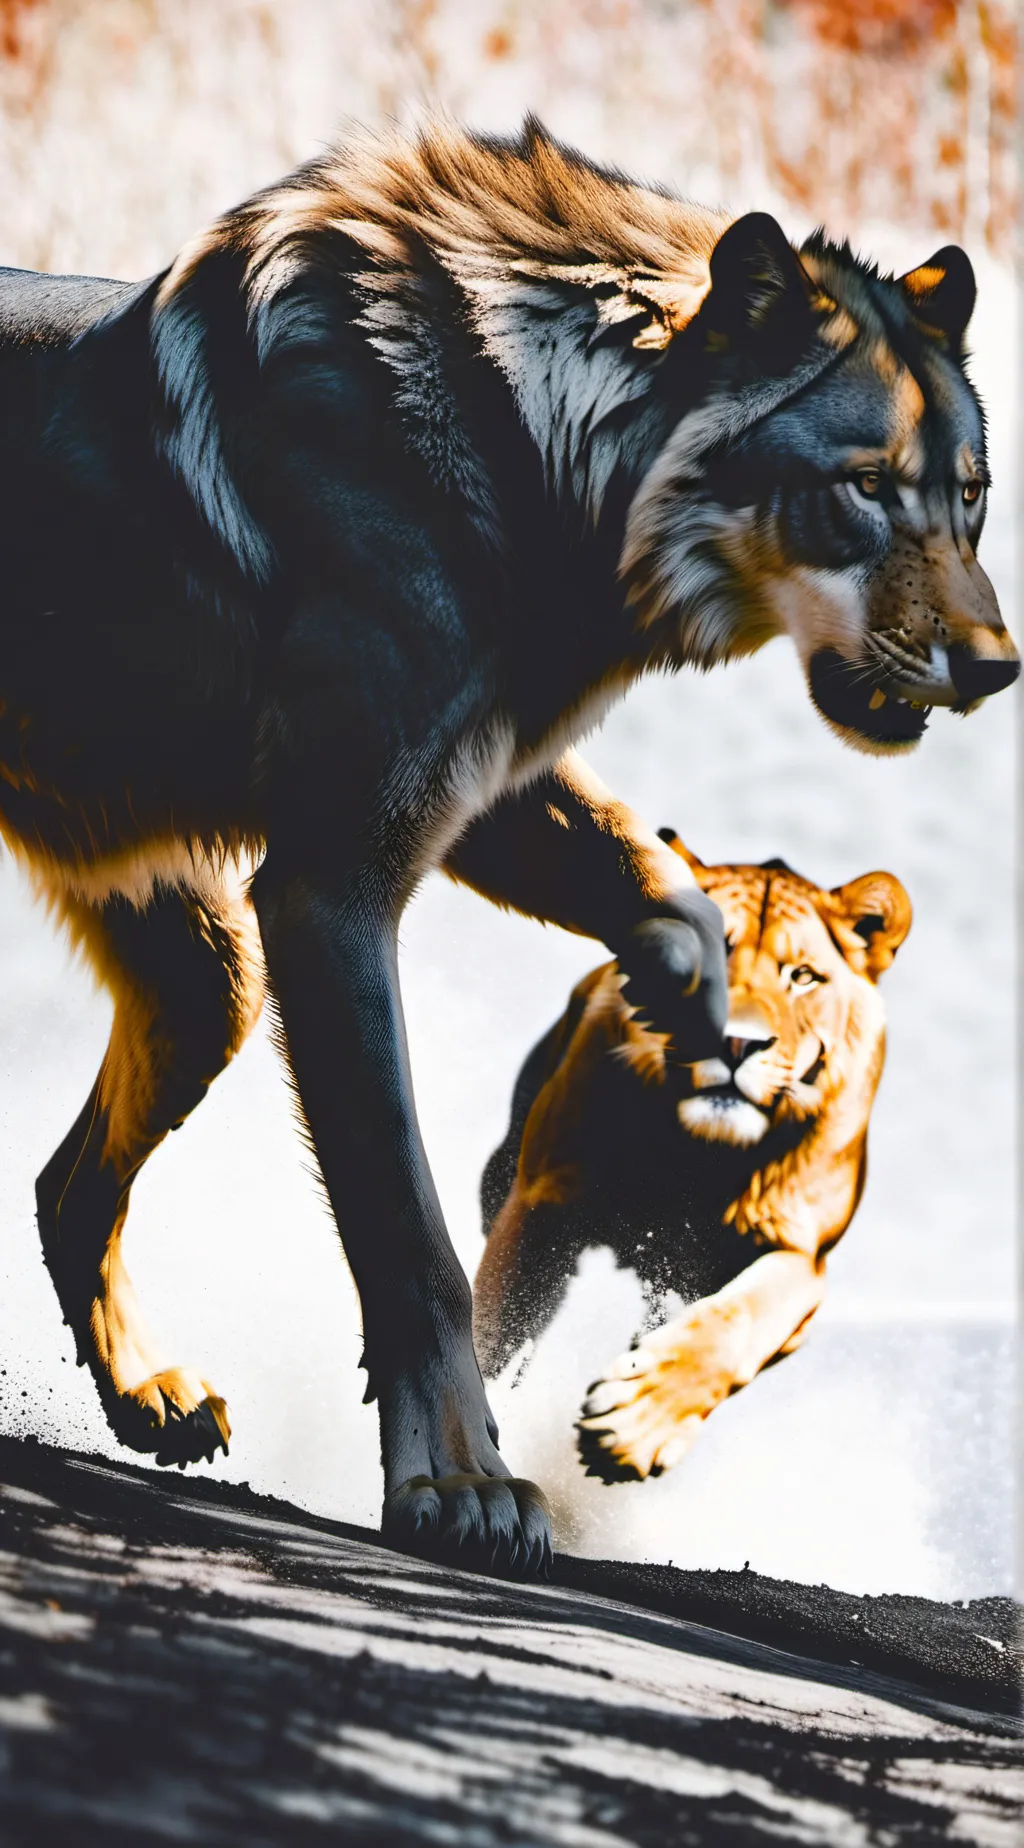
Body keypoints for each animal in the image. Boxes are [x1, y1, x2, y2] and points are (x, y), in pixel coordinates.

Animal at [474, 830, 911, 1480]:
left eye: (803, 977)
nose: (736, 1041)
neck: (701, 1155)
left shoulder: (801, 1261)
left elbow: (737, 1319)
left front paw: (638, 1422)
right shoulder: (542, 1203)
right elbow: (498, 1333)